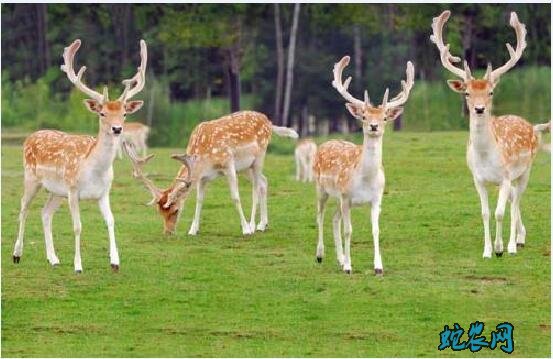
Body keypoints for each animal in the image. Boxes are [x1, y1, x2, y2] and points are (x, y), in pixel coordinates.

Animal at [12, 38, 147, 272]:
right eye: (102, 113)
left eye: (124, 113)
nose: (117, 129)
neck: (93, 171)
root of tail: (30, 136)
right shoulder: (73, 191)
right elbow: (77, 226)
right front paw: (78, 265)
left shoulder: (103, 193)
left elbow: (111, 221)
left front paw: (115, 261)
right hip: (32, 178)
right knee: (23, 208)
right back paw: (17, 254)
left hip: (56, 191)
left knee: (45, 213)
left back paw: (53, 258)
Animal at [125, 111, 298, 238]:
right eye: (159, 212)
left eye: (175, 210)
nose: (168, 232)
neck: (204, 158)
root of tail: (269, 122)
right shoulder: (203, 176)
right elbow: (199, 200)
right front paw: (193, 230)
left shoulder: (228, 165)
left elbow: (235, 197)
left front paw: (245, 229)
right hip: (245, 168)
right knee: (264, 181)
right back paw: (263, 224)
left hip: (259, 157)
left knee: (256, 187)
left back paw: (252, 225)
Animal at [314, 56, 414, 276]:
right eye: (364, 116)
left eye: (384, 117)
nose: (374, 126)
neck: (366, 180)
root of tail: (325, 143)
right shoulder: (346, 197)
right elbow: (348, 230)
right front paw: (349, 267)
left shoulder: (376, 199)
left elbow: (375, 230)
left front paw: (378, 267)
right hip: (321, 188)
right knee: (320, 216)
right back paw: (320, 255)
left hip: (338, 199)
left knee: (334, 218)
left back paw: (340, 259)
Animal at [430, 11, 548, 258]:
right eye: (466, 92)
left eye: (491, 92)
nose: (479, 109)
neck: (486, 157)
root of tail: (533, 126)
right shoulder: (479, 179)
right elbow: (485, 213)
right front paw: (487, 250)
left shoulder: (505, 177)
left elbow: (500, 213)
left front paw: (500, 248)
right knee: (513, 201)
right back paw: (518, 238)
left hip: (525, 170)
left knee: (515, 203)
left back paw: (513, 244)